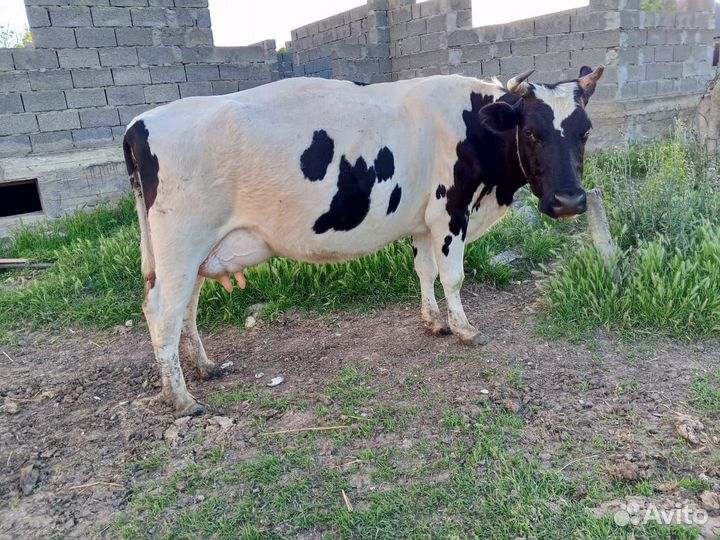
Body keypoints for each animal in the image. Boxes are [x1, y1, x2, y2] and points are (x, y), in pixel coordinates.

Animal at [123, 66, 604, 417]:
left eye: (585, 131)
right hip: (181, 243)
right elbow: (453, 276)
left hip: (196, 252)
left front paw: (434, 322)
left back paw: (205, 368)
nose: (569, 201)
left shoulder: (422, 222)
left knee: (187, 307)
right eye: (533, 132)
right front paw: (466, 329)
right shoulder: (450, 212)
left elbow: (424, 270)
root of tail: (142, 121)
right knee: (162, 310)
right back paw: (181, 398)